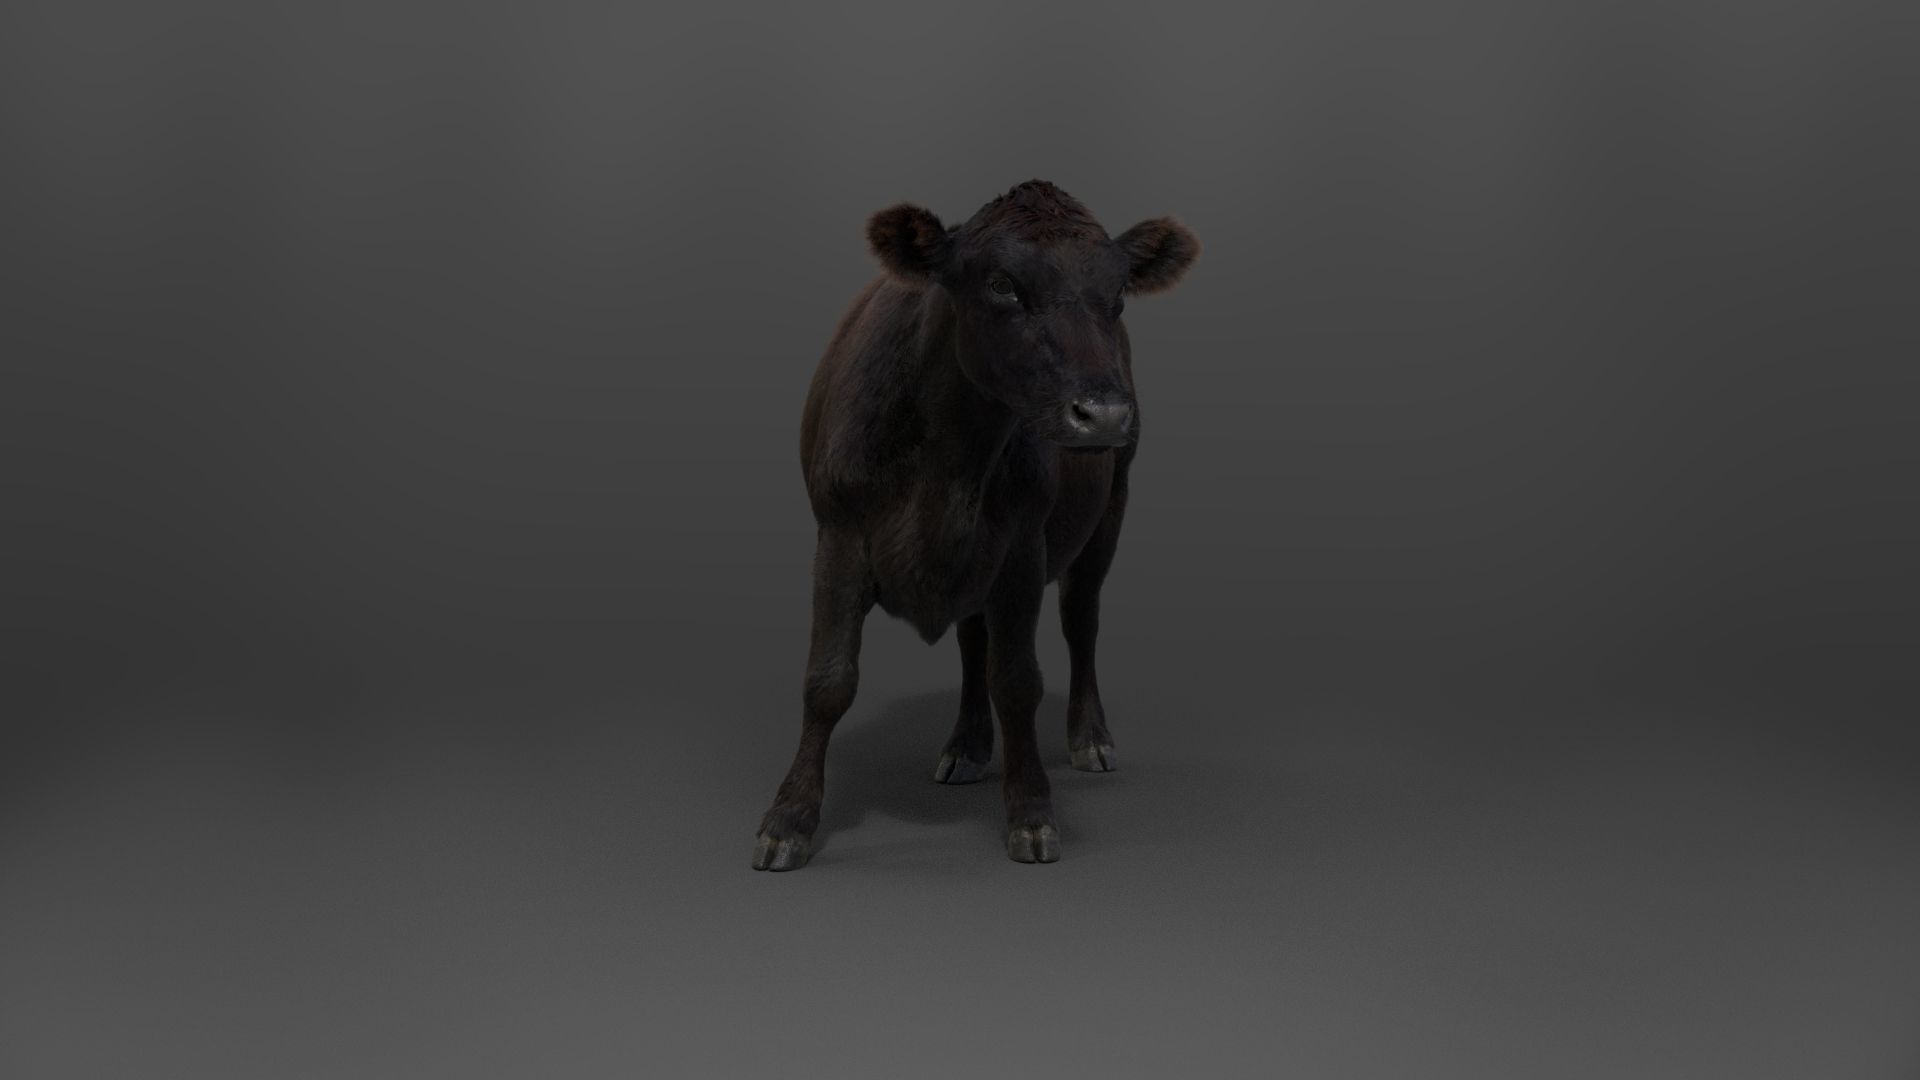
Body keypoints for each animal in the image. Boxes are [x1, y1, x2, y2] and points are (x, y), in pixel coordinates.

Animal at [752, 179, 1200, 870]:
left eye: (1118, 293)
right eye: (1001, 284)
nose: (1102, 413)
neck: (947, 461)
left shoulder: (1022, 549)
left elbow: (1017, 680)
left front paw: (1032, 813)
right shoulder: (838, 536)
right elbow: (827, 681)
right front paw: (789, 820)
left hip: (1110, 510)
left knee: (1081, 621)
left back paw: (1089, 737)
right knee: (972, 641)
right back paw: (965, 746)